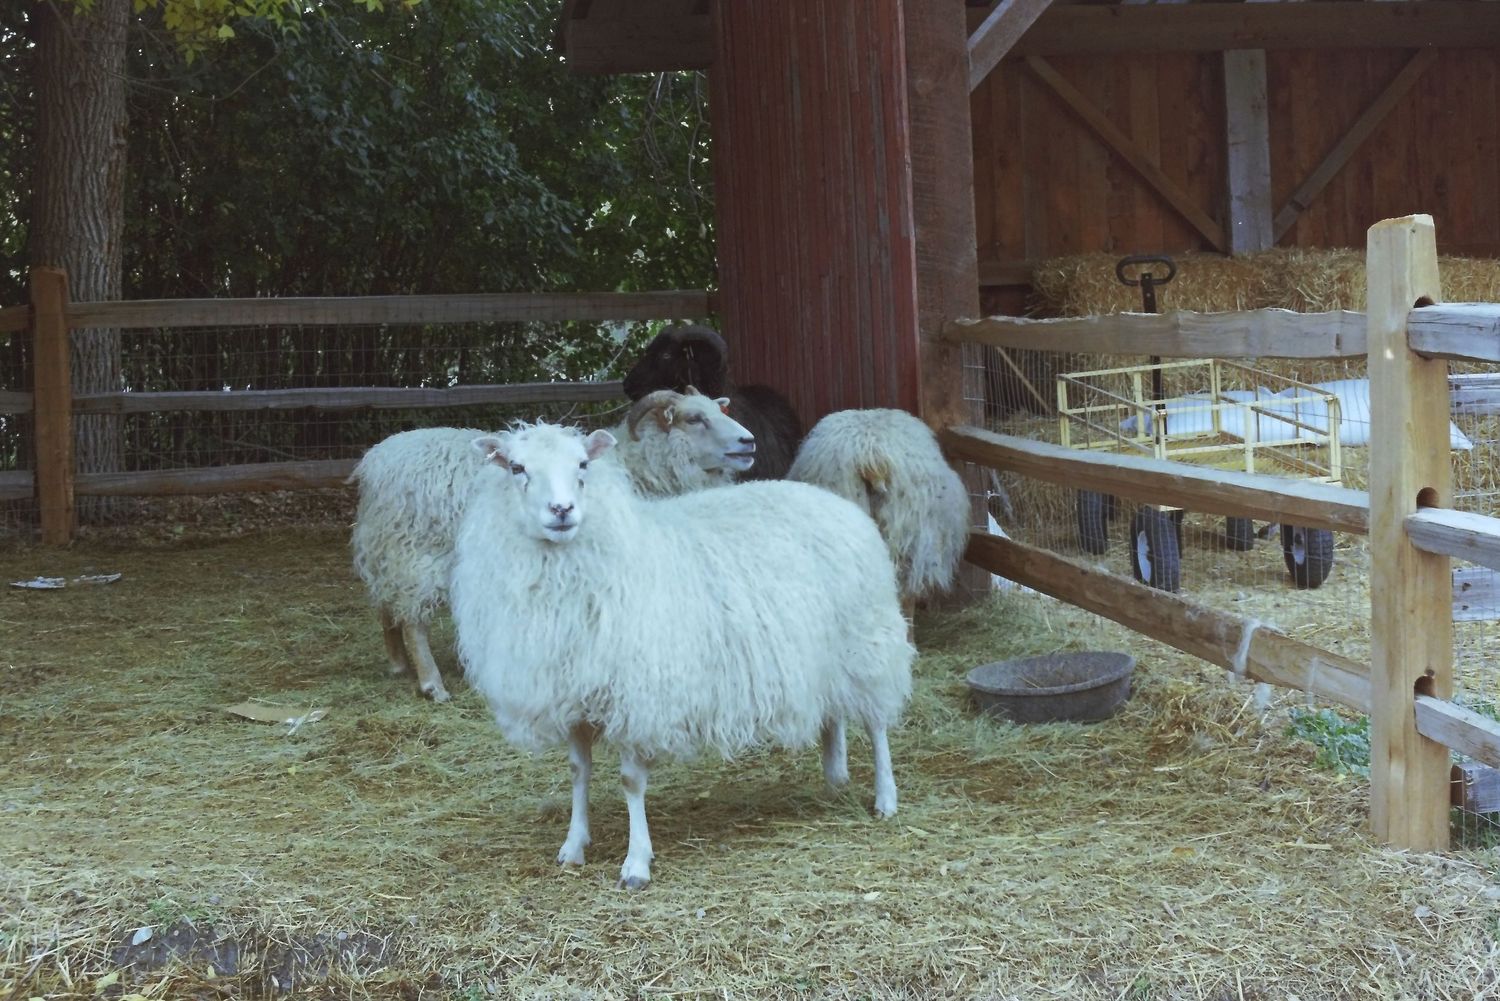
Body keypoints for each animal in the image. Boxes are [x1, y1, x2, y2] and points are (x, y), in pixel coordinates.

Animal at [348, 388, 754, 703]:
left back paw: (399, 665)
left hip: (388, 548)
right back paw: (432, 684)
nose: (748, 441)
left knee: (386, 606)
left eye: (719, 410)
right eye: (694, 419)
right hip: (416, 553)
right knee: (413, 619)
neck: (639, 466)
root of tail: (375, 462)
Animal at [450, 420, 914, 889]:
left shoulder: (637, 697)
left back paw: (886, 797)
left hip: (866, 643)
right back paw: (835, 778)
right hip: (822, 653)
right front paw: (573, 845)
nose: (562, 510)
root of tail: (832, 501)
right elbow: (579, 772)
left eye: (582, 465)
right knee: (831, 712)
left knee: (876, 724)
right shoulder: (574, 695)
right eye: (517, 468)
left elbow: (630, 781)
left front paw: (636, 862)